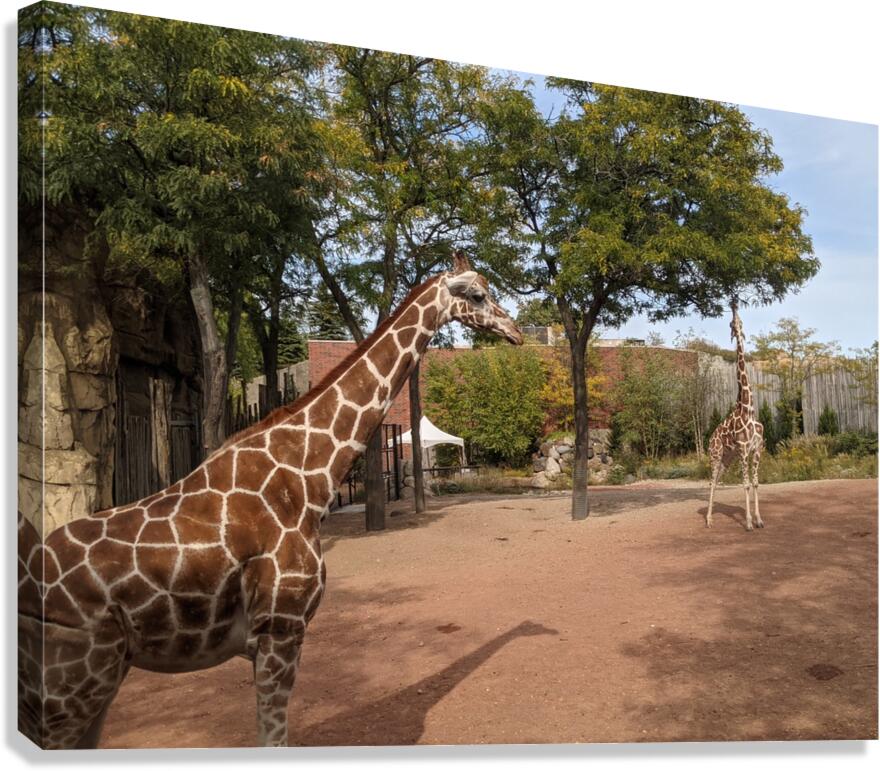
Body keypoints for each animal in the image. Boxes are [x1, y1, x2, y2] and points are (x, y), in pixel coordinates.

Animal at [18, 250, 523, 749]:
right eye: (478, 294)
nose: (516, 333)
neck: (305, 482)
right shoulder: (281, 629)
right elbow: (273, 737)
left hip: (97, 676)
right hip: (71, 680)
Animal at [706, 298, 765, 531]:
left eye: (740, 321)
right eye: (732, 323)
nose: (733, 303)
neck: (748, 409)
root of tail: (710, 438)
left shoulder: (756, 450)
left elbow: (755, 483)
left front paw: (759, 520)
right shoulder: (743, 450)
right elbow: (746, 484)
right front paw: (748, 523)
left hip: (726, 458)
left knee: (716, 481)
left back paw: (711, 518)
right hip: (716, 454)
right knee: (711, 481)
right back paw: (708, 520)